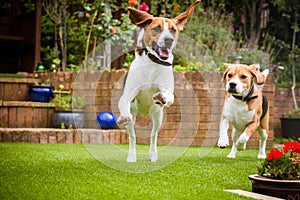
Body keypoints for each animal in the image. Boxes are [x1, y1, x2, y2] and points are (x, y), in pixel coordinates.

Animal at [118, 0, 200, 162]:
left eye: (173, 30)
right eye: (157, 28)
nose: (169, 40)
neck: (153, 62)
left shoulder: (168, 92)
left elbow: (168, 96)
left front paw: (161, 97)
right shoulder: (128, 95)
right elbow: (123, 102)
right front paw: (123, 116)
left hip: (157, 116)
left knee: (153, 135)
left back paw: (153, 154)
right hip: (134, 116)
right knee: (132, 136)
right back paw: (132, 156)